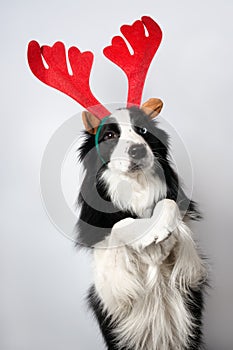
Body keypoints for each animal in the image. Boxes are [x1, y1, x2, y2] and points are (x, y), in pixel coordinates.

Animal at [75, 102, 207, 350]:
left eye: (143, 130)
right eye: (109, 136)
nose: (138, 150)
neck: (136, 185)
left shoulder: (190, 266)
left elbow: (168, 204)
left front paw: (159, 229)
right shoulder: (112, 279)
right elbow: (121, 224)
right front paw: (146, 234)